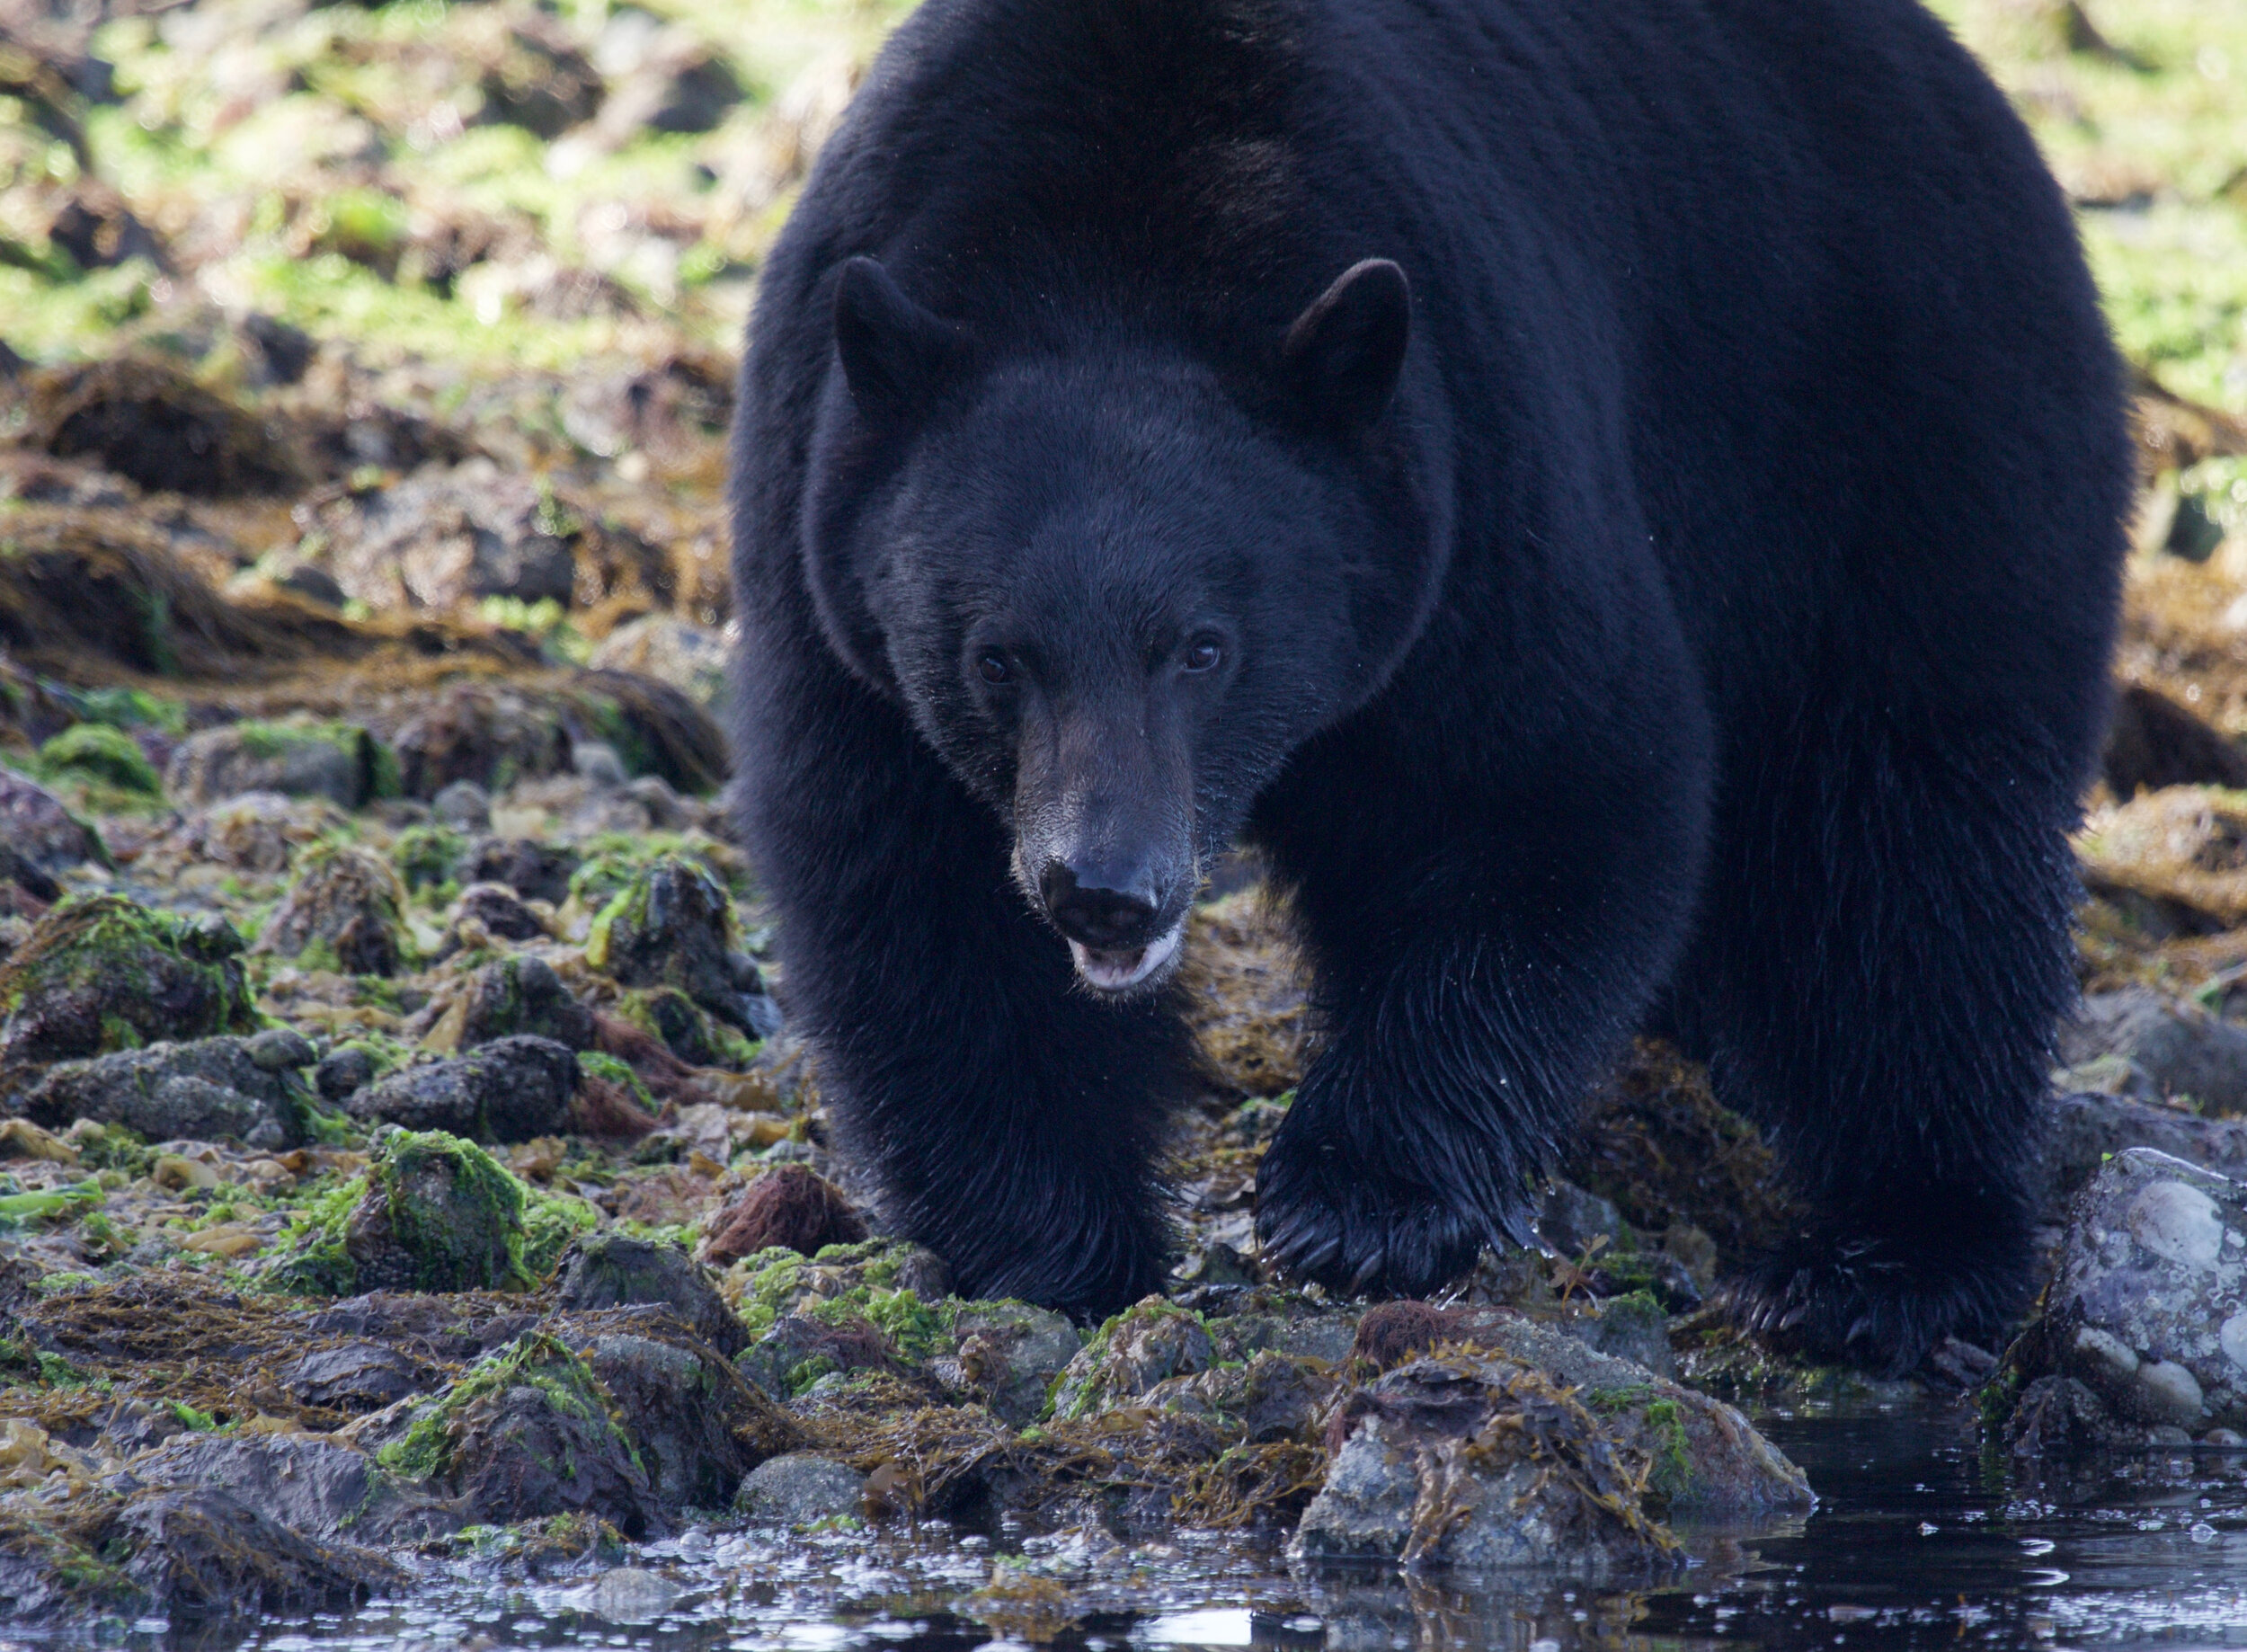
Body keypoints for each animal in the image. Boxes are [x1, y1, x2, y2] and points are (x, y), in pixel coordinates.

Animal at [728, 0, 2130, 1366]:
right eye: (996, 657)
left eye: (1203, 646)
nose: (1107, 890)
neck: (1113, 243)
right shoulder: (830, 554)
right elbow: (913, 888)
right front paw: (1056, 1241)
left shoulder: (1474, 466)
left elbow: (1543, 795)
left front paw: (1361, 1205)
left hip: (1904, 435)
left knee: (1901, 851)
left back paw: (1885, 1262)